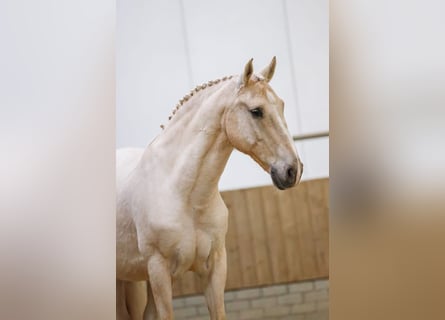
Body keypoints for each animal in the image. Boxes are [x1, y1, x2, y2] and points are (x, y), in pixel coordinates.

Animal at [115, 56, 302, 318]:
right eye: (256, 111)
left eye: (282, 105)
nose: (293, 170)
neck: (183, 194)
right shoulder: (159, 271)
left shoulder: (215, 268)